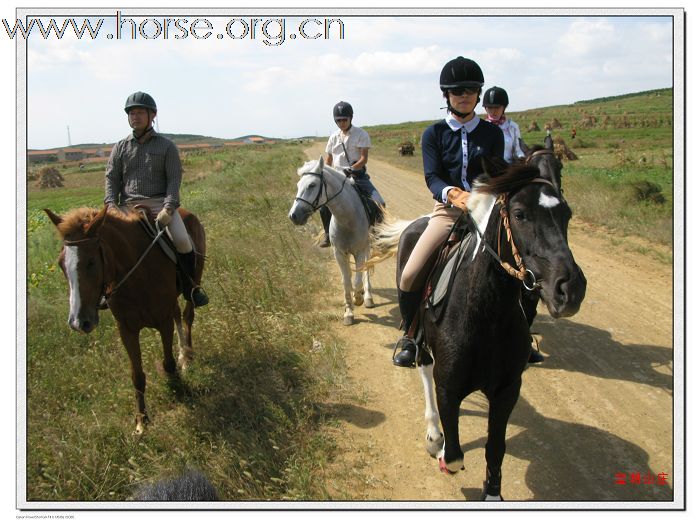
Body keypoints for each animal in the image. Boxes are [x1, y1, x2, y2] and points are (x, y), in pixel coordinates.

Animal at [44, 206, 205, 434]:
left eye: (91, 262)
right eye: (61, 264)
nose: (78, 322)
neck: (137, 274)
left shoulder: (163, 322)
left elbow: (168, 363)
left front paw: (178, 388)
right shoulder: (126, 330)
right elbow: (136, 376)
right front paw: (141, 421)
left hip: (193, 284)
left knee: (187, 315)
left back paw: (187, 357)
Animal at [288, 155, 378, 324]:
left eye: (312, 185)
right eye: (298, 185)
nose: (293, 215)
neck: (347, 218)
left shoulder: (360, 251)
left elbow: (357, 279)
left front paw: (357, 299)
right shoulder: (339, 253)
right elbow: (346, 281)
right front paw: (348, 311)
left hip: (367, 246)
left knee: (366, 268)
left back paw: (368, 297)